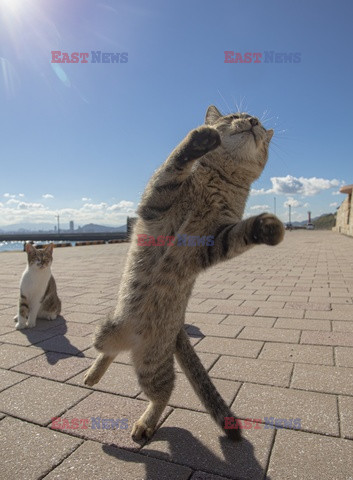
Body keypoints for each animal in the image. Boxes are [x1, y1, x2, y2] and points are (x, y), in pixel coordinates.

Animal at [84, 105, 284, 442]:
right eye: (234, 117)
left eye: (257, 122)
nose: (254, 122)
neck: (217, 182)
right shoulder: (157, 202)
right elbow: (173, 164)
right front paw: (200, 139)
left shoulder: (214, 240)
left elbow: (241, 233)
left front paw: (267, 226)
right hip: (106, 331)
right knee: (107, 353)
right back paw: (93, 377)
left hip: (152, 365)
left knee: (162, 392)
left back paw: (143, 422)